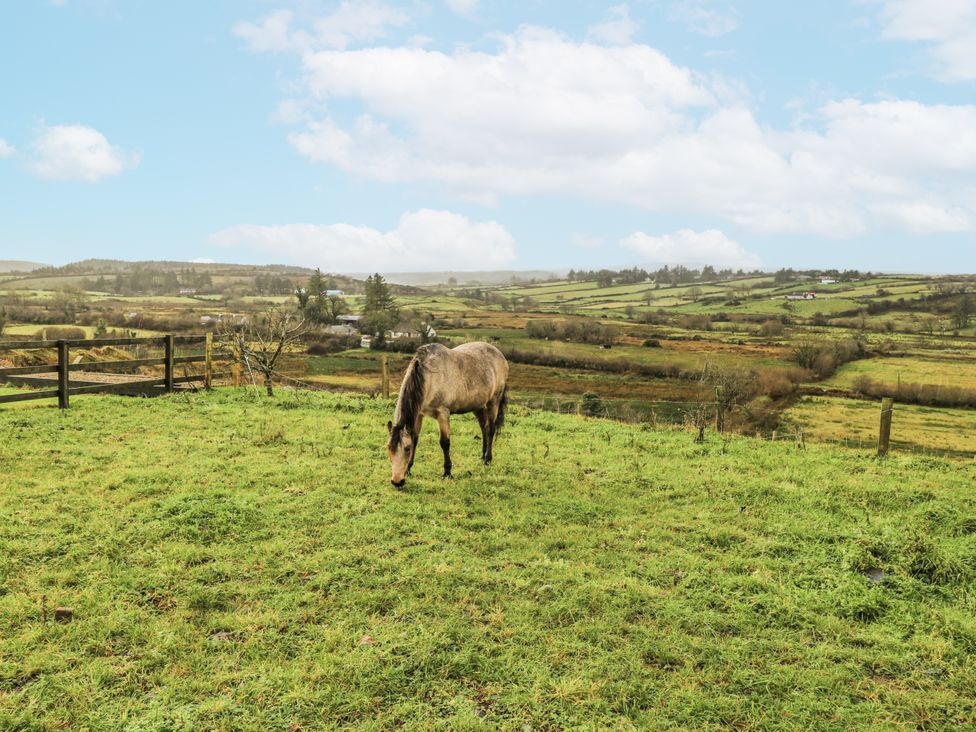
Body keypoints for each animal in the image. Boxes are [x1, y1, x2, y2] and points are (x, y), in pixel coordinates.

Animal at [386, 342, 509, 487]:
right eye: (389, 448)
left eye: (406, 449)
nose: (397, 481)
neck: (429, 378)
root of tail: (499, 354)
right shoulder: (419, 414)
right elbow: (415, 438)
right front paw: (409, 470)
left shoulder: (443, 413)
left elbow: (445, 442)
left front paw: (447, 473)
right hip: (479, 407)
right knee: (484, 428)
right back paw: (482, 455)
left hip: (493, 403)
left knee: (490, 430)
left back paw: (487, 459)